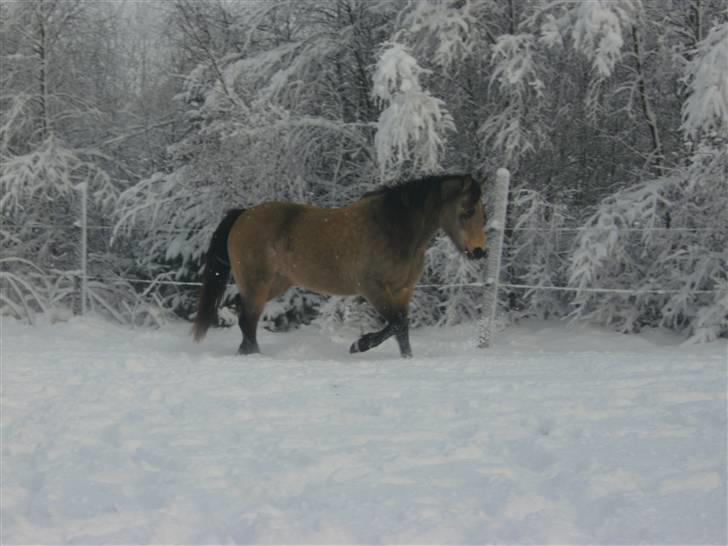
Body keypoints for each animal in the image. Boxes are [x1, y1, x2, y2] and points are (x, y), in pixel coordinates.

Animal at [193, 172, 486, 354]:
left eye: (482, 213)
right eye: (467, 211)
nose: (479, 251)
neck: (392, 228)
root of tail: (243, 215)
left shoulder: (403, 291)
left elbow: (402, 330)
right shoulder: (373, 289)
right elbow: (396, 323)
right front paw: (359, 345)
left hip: (275, 284)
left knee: (244, 317)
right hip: (258, 284)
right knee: (247, 321)